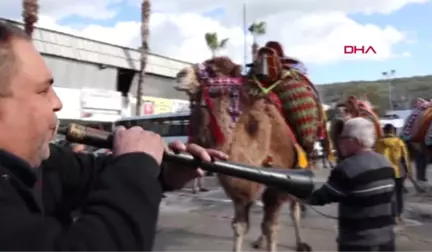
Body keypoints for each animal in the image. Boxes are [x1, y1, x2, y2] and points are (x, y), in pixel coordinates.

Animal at [173, 46, 320, 250]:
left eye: (213, 70)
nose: (180, 74)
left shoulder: (281, 186)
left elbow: (272, 227)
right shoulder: (240, 193)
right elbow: (240, 226)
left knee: (294, 208)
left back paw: (300, 243)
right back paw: (259, 241)